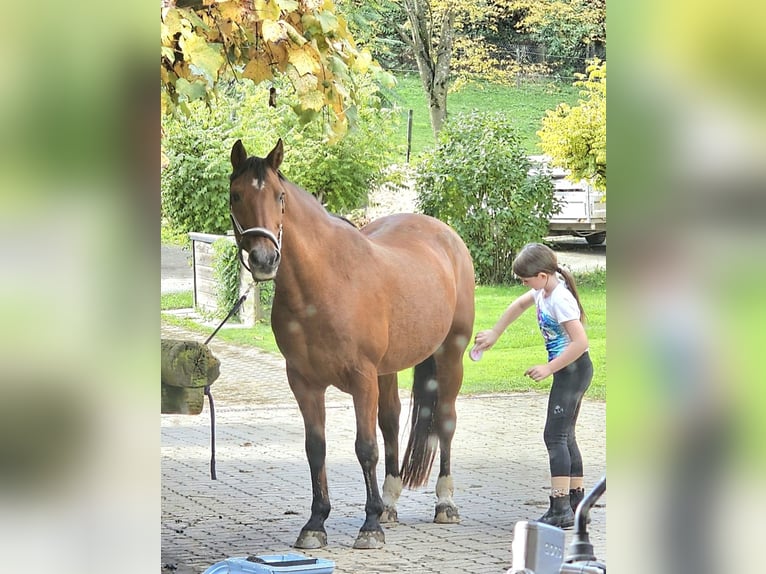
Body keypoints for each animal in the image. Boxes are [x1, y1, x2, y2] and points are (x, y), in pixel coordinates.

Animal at [228, 137, 474, 552]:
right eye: (235, 195)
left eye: (280, 196)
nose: (264, 259)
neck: (325, 283)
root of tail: (445, 234)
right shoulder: (304, 383)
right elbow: (316, 449)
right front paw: (315, 523)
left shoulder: (361, 378)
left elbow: (365, 447)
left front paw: (369, 526)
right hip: (388, 370)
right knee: (391, 420)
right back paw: (390, 503)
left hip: (449, 355)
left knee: (445, 420)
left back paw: (445, 503)